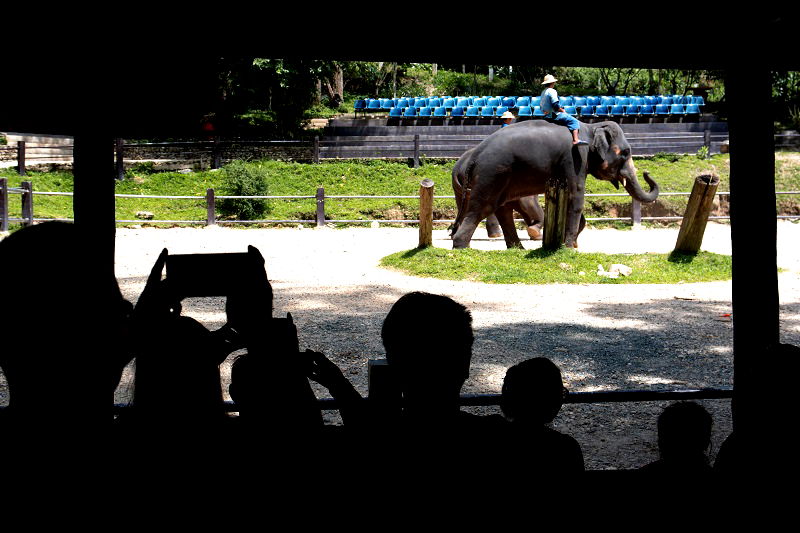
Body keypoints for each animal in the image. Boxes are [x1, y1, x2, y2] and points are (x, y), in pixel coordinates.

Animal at [454, 119, 660, 248]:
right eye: (625, 152)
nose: (646, 172)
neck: (591, 127)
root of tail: (474, 156)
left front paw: (572, 244)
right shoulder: (575, 158)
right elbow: (575, 197)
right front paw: (568, 247)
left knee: (502, 209)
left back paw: (517, 249)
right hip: (492, 173)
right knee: (481, 208)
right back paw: (461, 246)